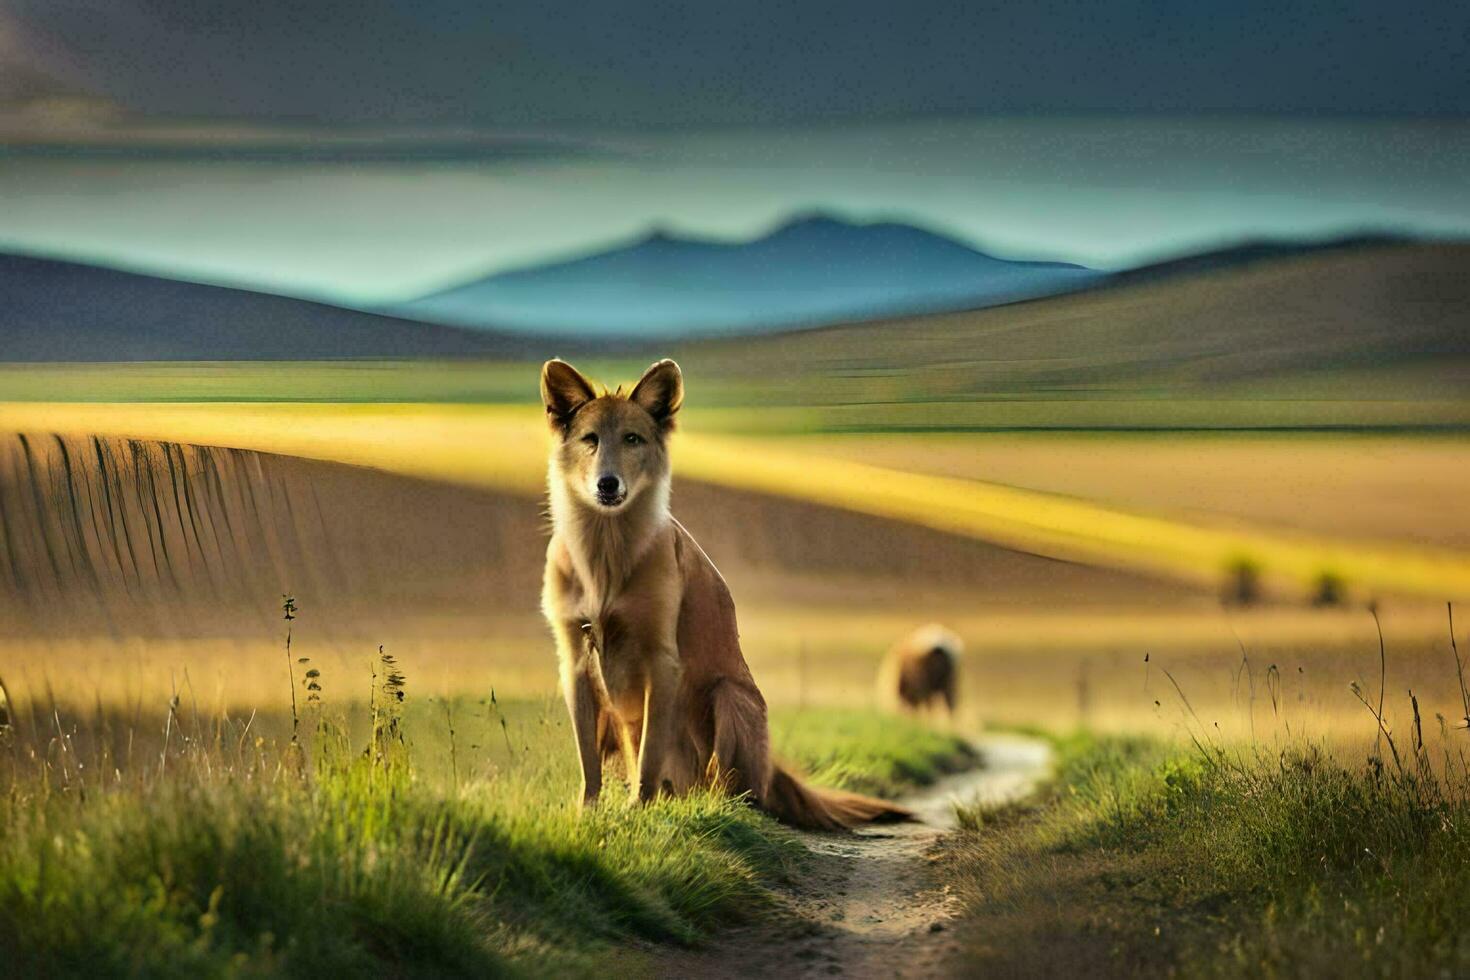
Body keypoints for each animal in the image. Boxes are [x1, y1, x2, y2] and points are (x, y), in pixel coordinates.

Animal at [540, 357, 905, 834]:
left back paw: (712, 806)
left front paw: (639, 807)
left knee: (734, 788)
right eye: (590, 440)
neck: (606, 551)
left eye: (632, 439)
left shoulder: (662, 660)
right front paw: (588, 812)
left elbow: (650, 752)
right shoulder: (577, 662)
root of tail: (771, 768)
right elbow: (590, 763)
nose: (607, 484)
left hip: (730, 697)